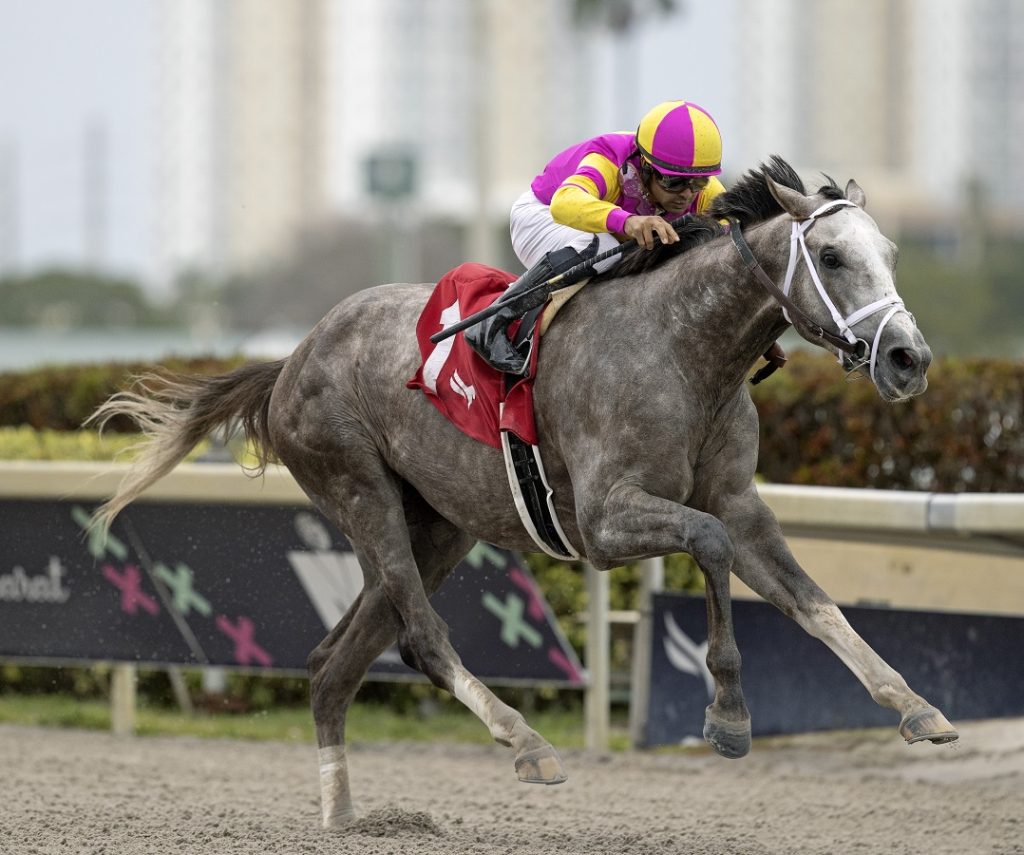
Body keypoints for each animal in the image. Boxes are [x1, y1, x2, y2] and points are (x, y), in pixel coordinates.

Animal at [90, 156, 958, 827]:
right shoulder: (608, 520)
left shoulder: (741, 504)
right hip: (360, 488)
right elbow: (707, 546)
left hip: (438, 523)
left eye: (889, 251)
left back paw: (341, 815)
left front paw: (917, 705)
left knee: (335, 661)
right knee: (420, 636)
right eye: (835, 257)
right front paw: (728, 715)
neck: (684, 349)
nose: (909, 358)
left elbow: (813, 600)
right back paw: (527, 744)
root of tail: (293, 357)